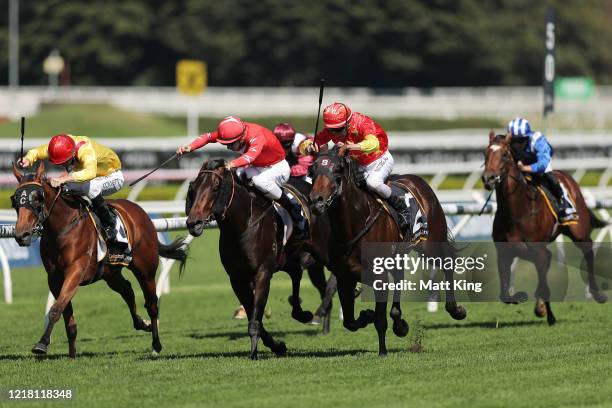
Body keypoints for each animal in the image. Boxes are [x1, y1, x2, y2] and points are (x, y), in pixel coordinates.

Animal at [11, 163, 188, 356]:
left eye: (38, 198)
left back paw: (156, 344)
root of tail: (141, 212)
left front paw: (42, 344)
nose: (21, 234)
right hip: (111, 273)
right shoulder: (54, 278)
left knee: (152, 304)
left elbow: (56, 308)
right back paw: (142, 324)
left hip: (145, 270)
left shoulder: (76, 272)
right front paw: (71, 355)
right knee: (127, 290)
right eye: (15, 200)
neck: (62, 229)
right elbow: (67, 315)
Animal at [186, 159, 330, 360]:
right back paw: (304, 314)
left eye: (215, 188)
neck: (242, 226)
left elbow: (256, 317)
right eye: (194, 188)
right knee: (297, 275)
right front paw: (278, 346)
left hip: (323, 251)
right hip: (292, 258)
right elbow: (254, 316)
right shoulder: (237, 279)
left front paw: (254, 353)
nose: (193, 223)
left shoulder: (262, 273)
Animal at [308, 147, 466, 356]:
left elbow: (379, 319)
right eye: (313, 169)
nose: (316, 200)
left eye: (338, 171)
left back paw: (455, 309)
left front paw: (382, 351)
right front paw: (367, 315)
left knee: (448, 264)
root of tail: (419, 181)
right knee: (399, 279)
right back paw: (399, 323)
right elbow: (349, 321)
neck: (355, 223)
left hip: (430, 244)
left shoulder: (379, 276)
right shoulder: (344, 277)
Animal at [482, 131, 608, 326]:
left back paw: (596, 294)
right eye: (485, 154)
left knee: (588, 251)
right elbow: (504, 294)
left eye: (504, 154)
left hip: (579, 232)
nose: (489, 178)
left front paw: (549, 315)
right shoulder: (504, 252)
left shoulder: (537, 250)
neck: (517, 211)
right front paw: (524, 298)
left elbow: (544, 276)